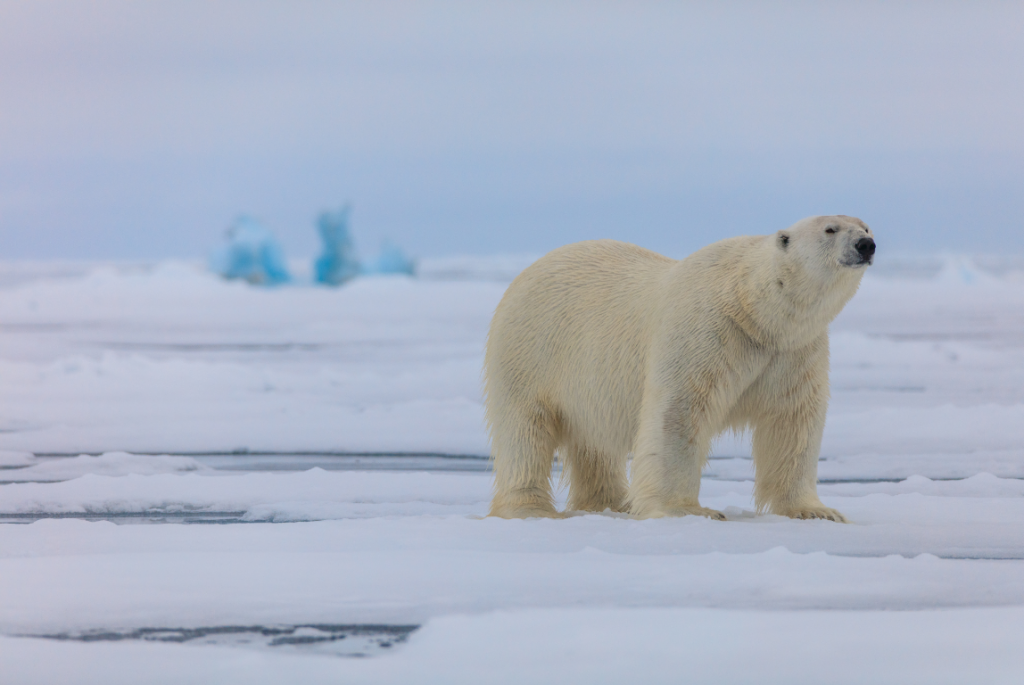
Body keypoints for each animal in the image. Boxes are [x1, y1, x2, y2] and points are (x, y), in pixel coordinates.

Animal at [481, 216, 872, 520]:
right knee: (525, 429)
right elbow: (679, 413)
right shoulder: (706, 331)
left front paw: (817, 511)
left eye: (866, 225)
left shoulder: (793, 351)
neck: (752, 308)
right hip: (531, 352)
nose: (866, 244)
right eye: (830, 229)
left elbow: (793, 421)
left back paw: (613, 503)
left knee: (594, 442)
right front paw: (688, 510)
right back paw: (529, 508)